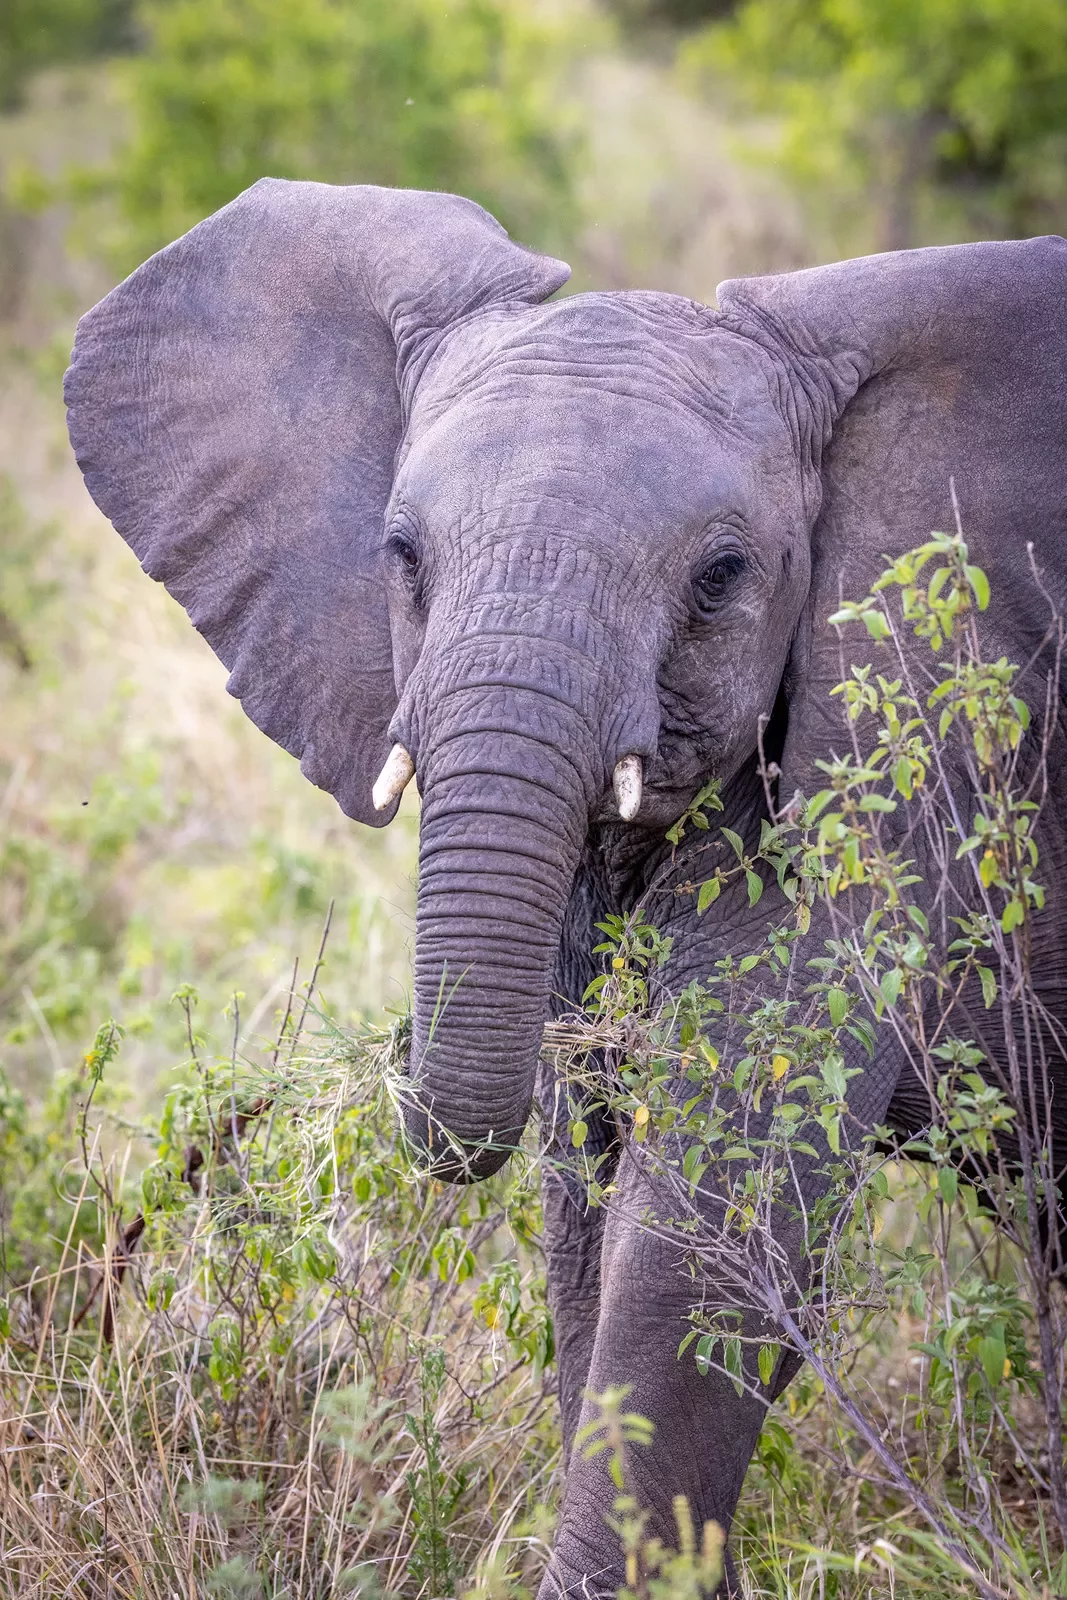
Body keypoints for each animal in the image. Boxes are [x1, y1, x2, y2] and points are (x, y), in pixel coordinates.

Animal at [64, 181, 1067, 1593]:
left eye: (718, 578)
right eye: (401, 555)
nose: (386, 1049)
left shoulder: (902, 765)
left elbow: (708, 1215)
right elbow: (585, 1200)